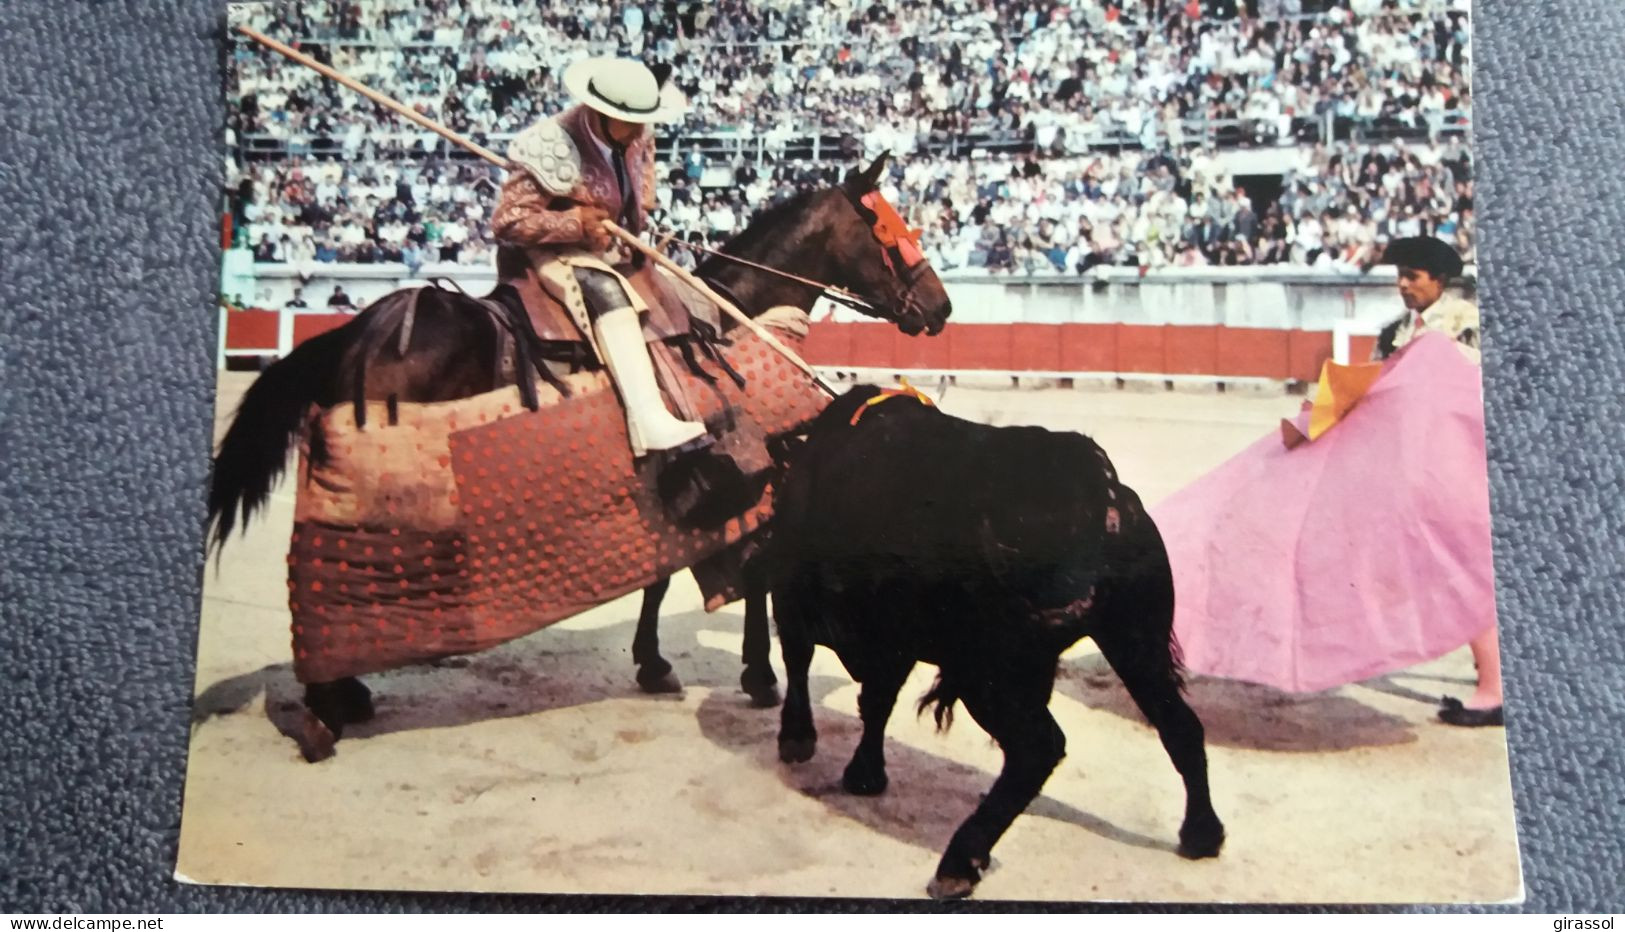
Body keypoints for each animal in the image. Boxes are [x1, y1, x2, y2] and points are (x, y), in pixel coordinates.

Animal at [211, 155, 955, 746]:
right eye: (889, 229)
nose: (941, 308)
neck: (726, 318)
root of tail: (358, 328)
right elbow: (744, 568)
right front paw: (754, 674)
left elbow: (669, 569)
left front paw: (656, 662)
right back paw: (329, 705)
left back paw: (346, 693)